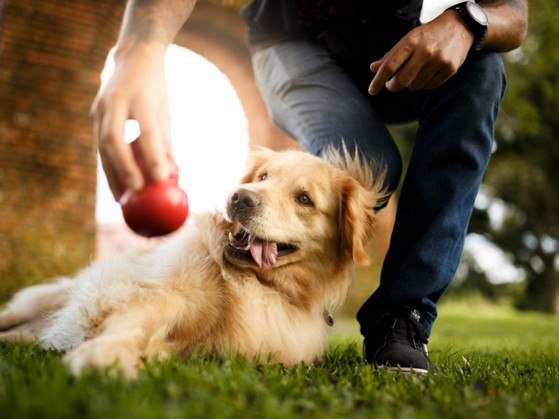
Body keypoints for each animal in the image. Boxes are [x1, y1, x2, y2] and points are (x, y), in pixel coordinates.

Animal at [0, 148, 384, 378]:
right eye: (263, 177)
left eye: (304, 199)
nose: (240, 198)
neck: (253, 283)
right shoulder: (163, 294)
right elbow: (136, 322)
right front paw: (106, 354)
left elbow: (162, 348)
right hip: (43, 300)